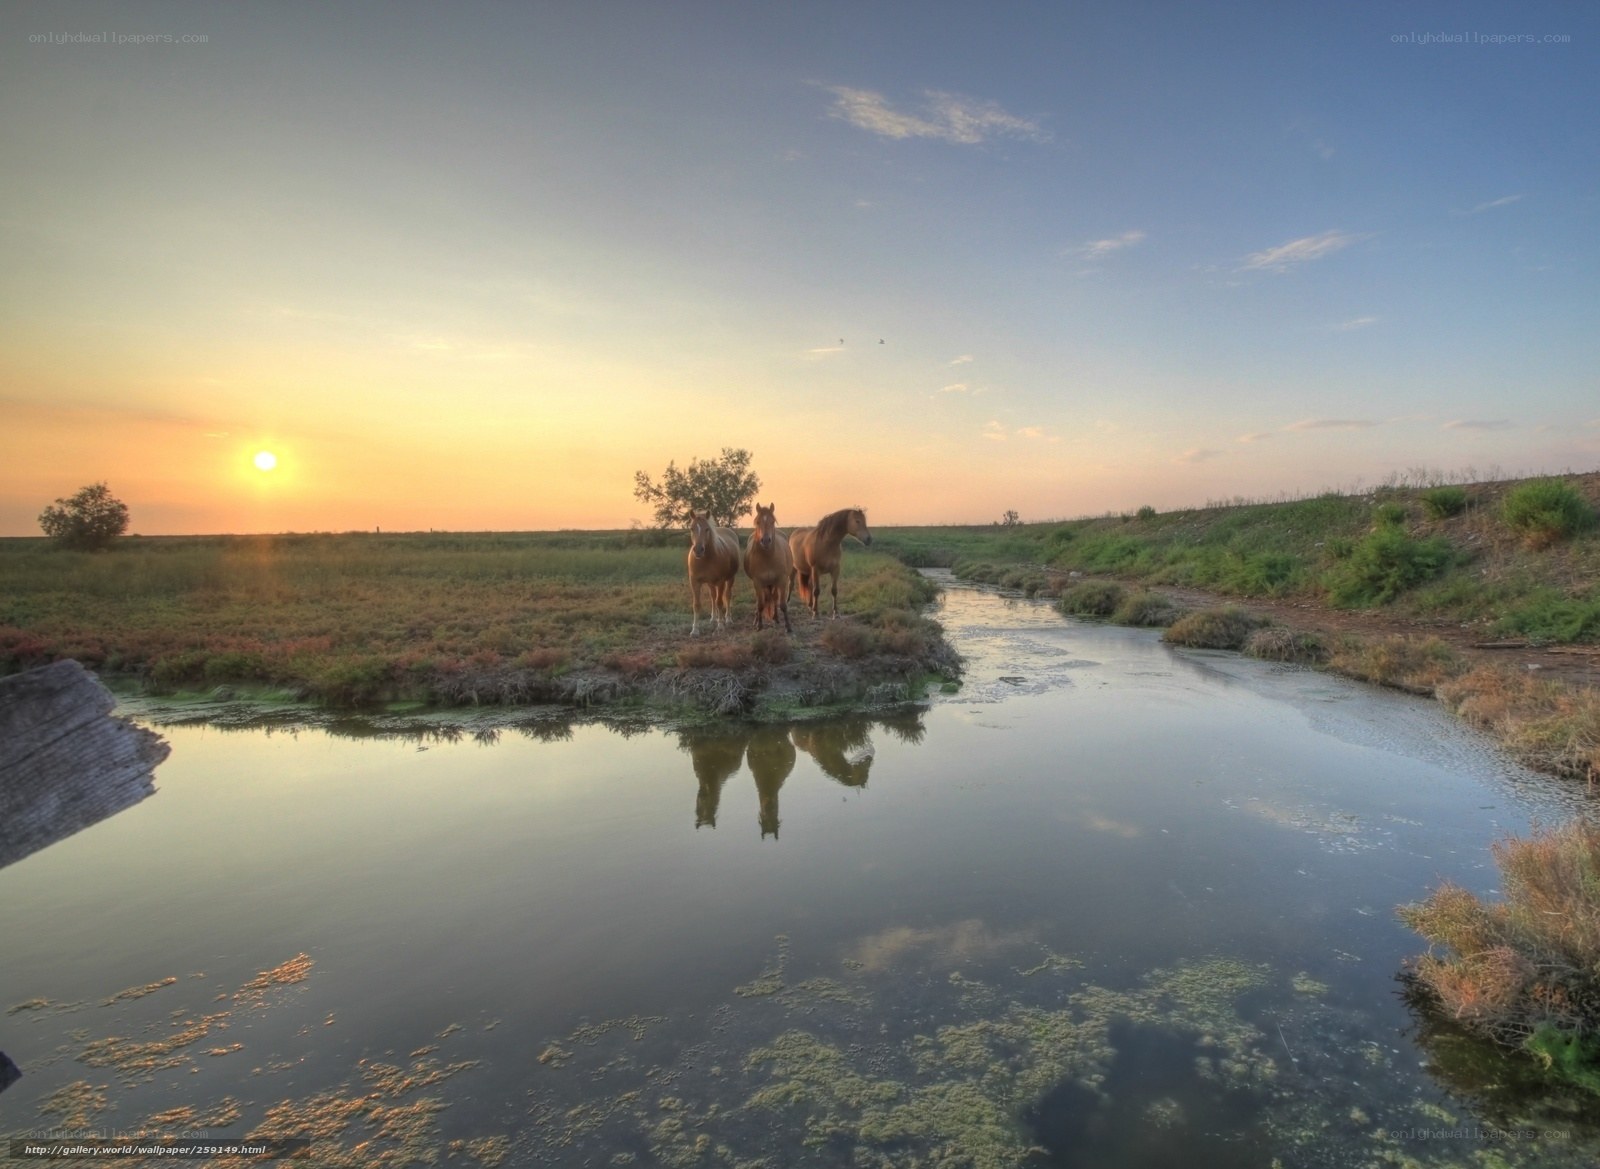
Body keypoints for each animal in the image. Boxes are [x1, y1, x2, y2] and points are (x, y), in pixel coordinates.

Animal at [743, 503, 793, 633]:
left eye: (773, 521)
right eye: (757, 521)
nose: (765, 541)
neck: (768, 558)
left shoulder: (781, 580)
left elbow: (783, 604)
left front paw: (788, 626)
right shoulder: (758, 582)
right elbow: (760, 604)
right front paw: (759, 625)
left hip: (774, 583)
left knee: (774, 598)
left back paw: (776, 618)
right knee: (760, 601)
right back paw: (756, 621)